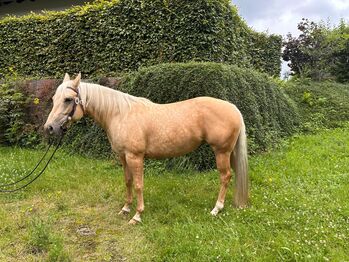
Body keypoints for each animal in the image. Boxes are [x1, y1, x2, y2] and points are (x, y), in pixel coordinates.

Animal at [44, 72, 249, 224]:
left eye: (68, 99)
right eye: (54, 98)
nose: (50, 128)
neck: (120, 114)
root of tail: (233, 107)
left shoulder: (135, 157)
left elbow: (138, 184)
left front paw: (137, 215)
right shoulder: (123, 157)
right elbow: (127, 181)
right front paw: (125, 209)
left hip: (221, 152)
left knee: (225, 177)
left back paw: (216, 209)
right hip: (229, 153)